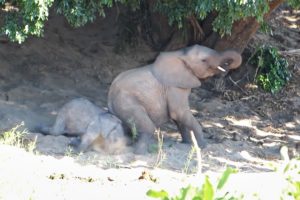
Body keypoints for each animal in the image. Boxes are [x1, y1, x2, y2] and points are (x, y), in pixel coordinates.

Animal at [108, 44, 241, 154]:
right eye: (203, 60)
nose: (226, 68)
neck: (181, 54)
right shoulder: (173, 87)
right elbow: (179, 113)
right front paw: (202, 146)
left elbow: (179, 118)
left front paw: (187, 143)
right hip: (126, 102)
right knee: (147, 128)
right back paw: (141, 153)